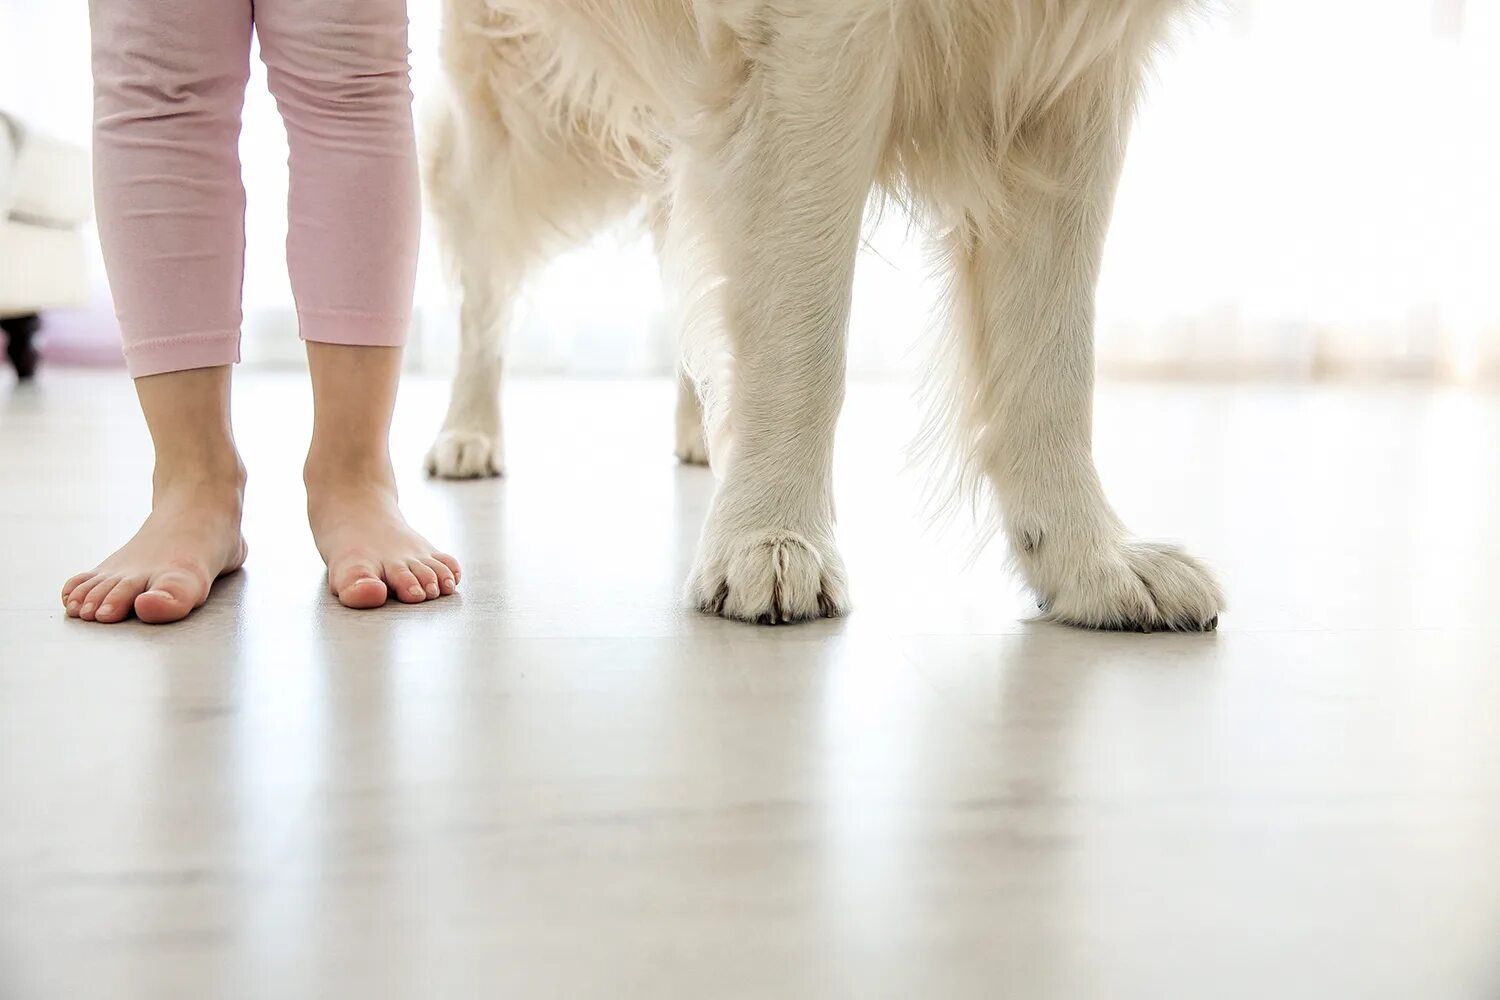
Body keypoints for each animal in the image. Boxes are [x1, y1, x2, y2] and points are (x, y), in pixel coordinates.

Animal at [420, 0, 1218, 632]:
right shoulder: (816, 42)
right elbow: (801, 331)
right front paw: (768, 534)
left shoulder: (1070, 65)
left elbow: (1052, 365)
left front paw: (1090, 560)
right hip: (520, 122)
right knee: (482, 289)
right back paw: (467, 433)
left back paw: (702, 434)